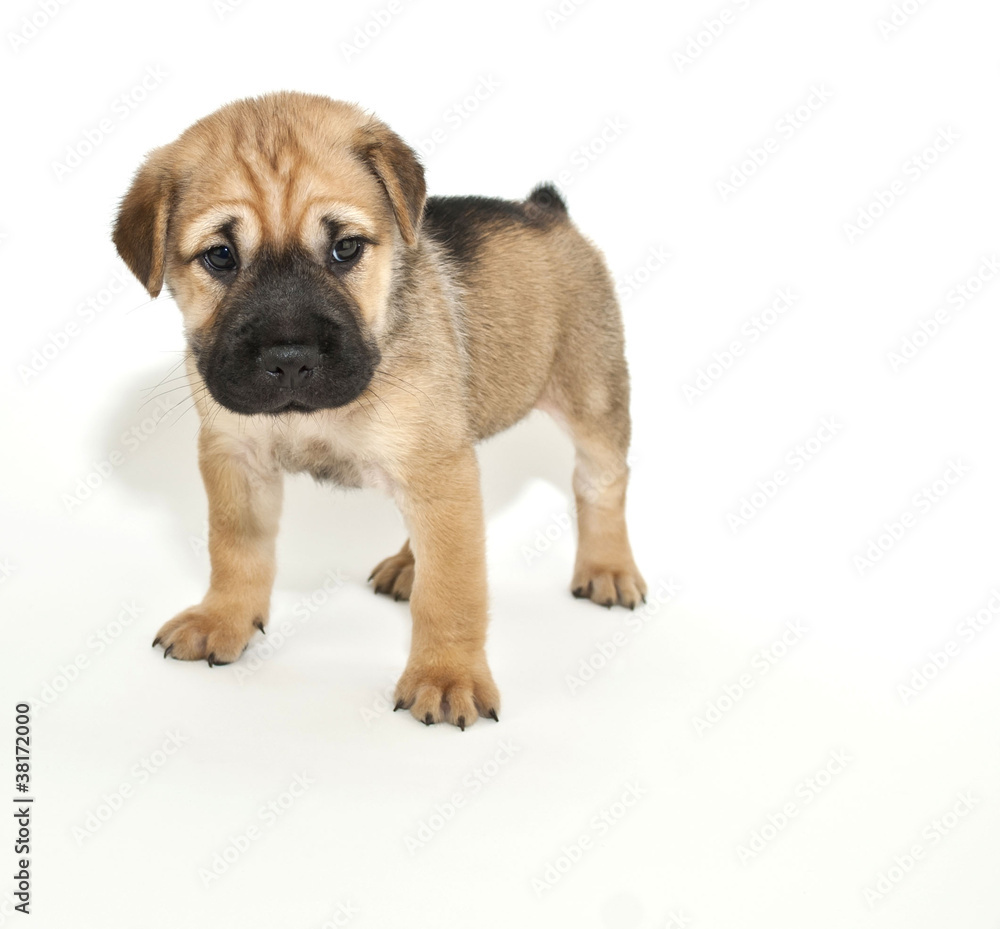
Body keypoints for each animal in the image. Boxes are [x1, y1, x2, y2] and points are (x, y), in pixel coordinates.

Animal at [113, 96, 644, 732]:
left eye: (345, 248)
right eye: (220, 256)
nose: (289, 359)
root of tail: (545, 210)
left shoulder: (436, 467)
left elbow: (453, 592)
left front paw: (447, 676)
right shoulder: (236, 458)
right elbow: (236, 551)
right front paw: (224, 618)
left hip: (592, 397)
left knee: (601, 484)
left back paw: (608, 568)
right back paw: (409, 565)